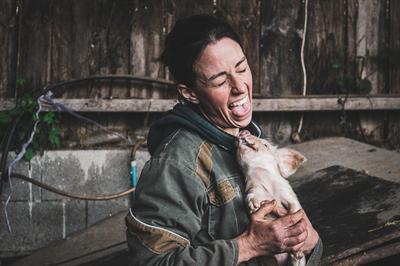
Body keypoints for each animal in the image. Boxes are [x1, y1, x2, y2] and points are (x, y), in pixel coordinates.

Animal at [236, 130, 308, 266]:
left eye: (265, 145)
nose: (244, 131)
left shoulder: (288, 195)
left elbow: (294, 209)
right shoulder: (253, 189)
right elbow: (250, 196)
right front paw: (254, 206)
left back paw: (297, 257)